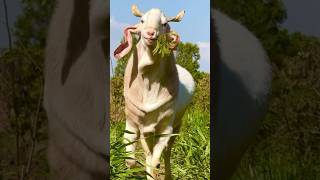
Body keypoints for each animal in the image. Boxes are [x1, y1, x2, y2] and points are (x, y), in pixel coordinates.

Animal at [114, 4, 196, 179]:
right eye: (142, 20)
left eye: (164, 23)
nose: (150, 33)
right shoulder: (132, 124)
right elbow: (131, 160)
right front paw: (136, 170)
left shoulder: (166, 127)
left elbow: (155, 158)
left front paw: (154, 167)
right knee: (149, 152)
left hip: (177, 125)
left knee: (167, 152)